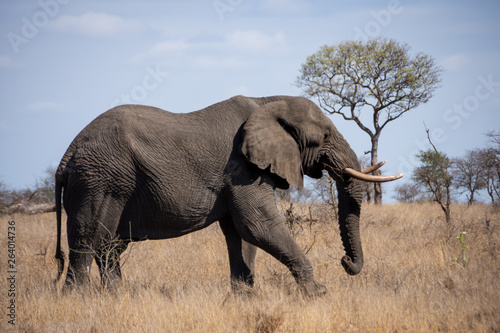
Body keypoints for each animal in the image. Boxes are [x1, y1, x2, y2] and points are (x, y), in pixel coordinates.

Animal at [53, 94, 402, 294]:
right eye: (325, 135)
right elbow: (258, 226)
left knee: (110, 247)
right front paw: (318, 293)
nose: (345, 262)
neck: (268, 101)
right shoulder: (241, 168)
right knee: (89, 239)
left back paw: (115, 297)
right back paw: (79, 300)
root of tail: (66, 156)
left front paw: (244, 298)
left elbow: (241, 234)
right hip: (100, 179)